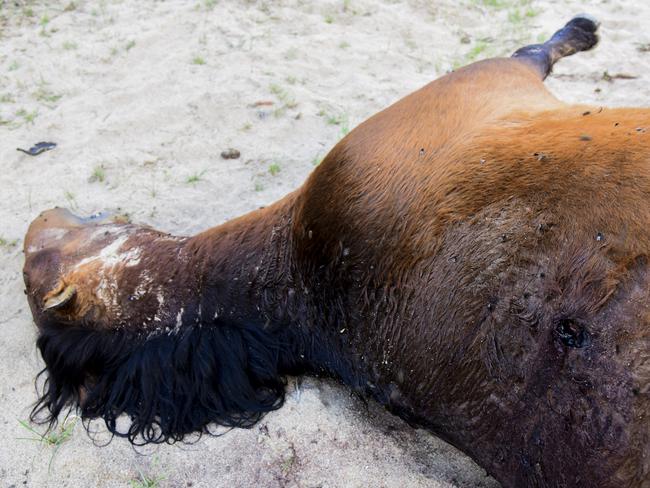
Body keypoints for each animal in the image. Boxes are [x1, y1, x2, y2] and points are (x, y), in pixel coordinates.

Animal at [20, 14, 648, 488]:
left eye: (34, 261)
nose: (35, 220)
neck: (303, 278)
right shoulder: (484, 82)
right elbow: (532, 51)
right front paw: (582, 30)